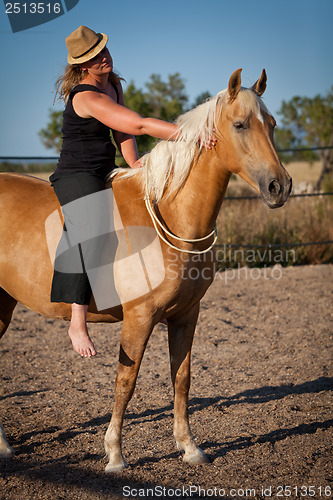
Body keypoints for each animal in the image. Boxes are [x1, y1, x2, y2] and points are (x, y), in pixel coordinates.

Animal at [0, 68, 290, 470]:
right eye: (240, 124)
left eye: (272, 124)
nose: (280, 186)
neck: (170, 216)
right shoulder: (139, 318)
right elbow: (126, 382)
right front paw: (115, 454)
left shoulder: (186, 314)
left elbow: (182, 378)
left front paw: (189, 447)